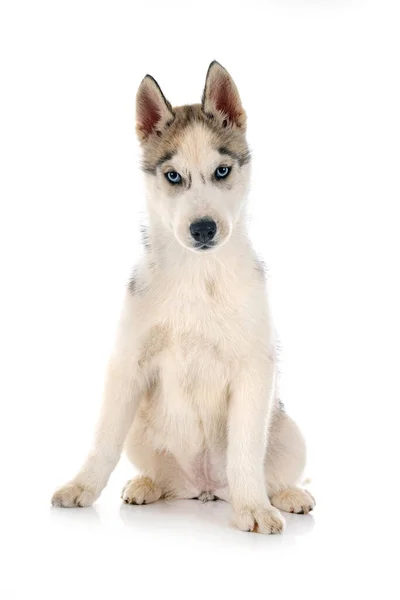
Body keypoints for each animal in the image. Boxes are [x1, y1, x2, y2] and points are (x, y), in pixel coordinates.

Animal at [52, 61, 316, 532]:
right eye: (173, 176)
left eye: (222, 172)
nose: (203, 229)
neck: (198, 274)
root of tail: (206, 487)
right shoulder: (127, 364)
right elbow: (103, 441)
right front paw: (81, 487)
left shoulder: (255, 369)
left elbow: (246, 452)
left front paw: (254, 508)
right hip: (141, 427)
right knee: (163, 476)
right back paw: (145, 485)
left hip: (287, 429)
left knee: (271, 471)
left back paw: (285, 495)